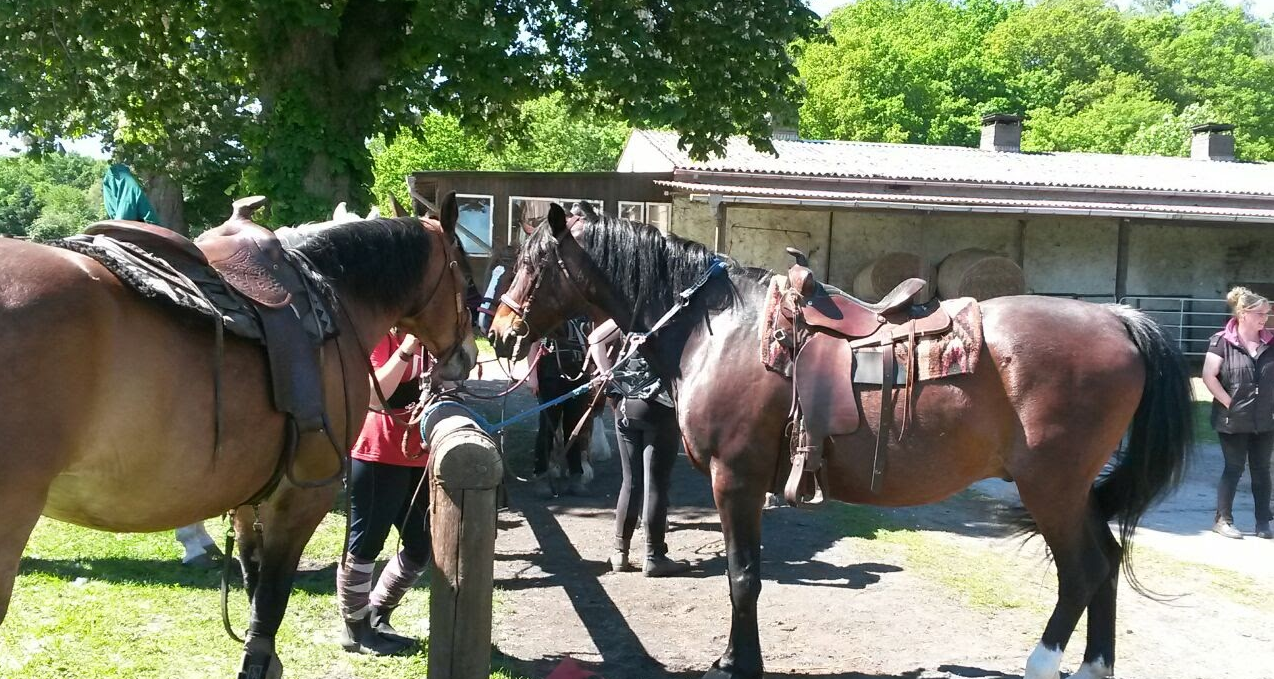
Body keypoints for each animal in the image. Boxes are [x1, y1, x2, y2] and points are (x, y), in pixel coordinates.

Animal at [0, 193, 479, 672]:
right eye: (465, 274)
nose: (468, 356)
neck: (334, 298)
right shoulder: (303, 498)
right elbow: (271, 597)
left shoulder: (250, 498)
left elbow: (252, 583)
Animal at [486, 205, 1192, 677]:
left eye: (532, 264)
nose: (500, 332)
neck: (719, 331)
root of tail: (1119, 320)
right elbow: (747, 575)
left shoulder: (734, 478)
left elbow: (743, 576)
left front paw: (738, 662)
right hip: (1074, 491)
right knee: (1105, 566)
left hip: (1052, 487)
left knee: (1083, 572)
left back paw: (1041, 663)